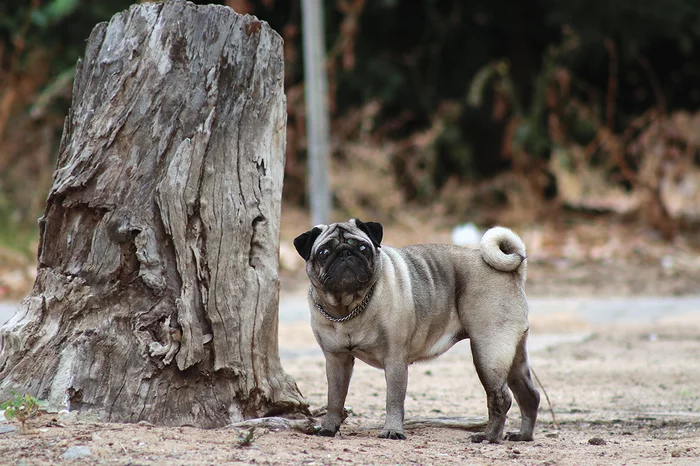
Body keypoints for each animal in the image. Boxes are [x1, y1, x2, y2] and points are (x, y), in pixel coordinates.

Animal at [292, 220, 540, 442]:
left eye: (363, 248)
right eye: (324, 252)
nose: (345, 254)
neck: (349, 307)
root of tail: (515, 271)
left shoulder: (395, 361)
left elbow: (393, 399)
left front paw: (392, 430)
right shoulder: (336, 360)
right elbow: (335, 398)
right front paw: (328, 428)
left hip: (488, 352)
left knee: (501, 398)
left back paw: (489, 436)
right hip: (511, 354)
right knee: (529, 395)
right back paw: (523, 436)